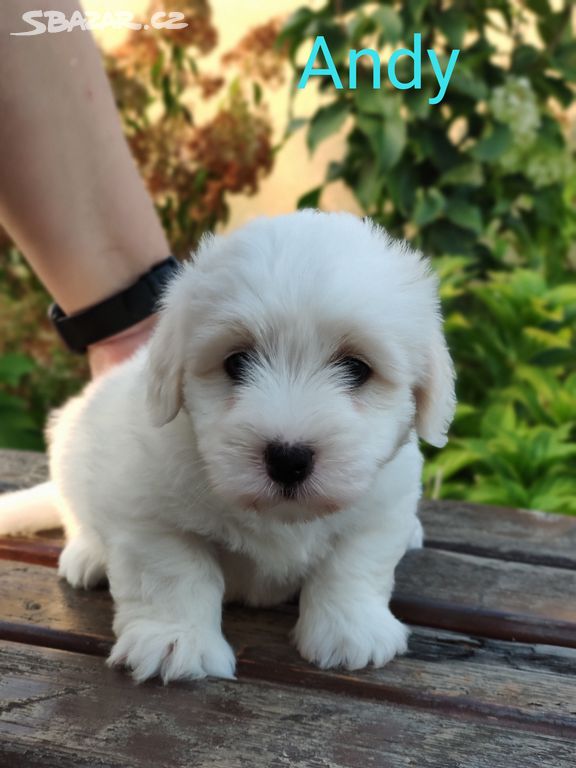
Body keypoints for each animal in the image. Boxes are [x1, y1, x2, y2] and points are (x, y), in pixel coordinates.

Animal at [2, 212, 456, 684]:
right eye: (236, 362)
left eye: (357, 368)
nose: (288, 459)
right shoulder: (150, 515)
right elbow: (174, 574)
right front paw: (174, 641)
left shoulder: (382, 507)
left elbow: (353, 565)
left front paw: (351, 631)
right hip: (71, 447)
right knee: (76, 512)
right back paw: (88, 554)